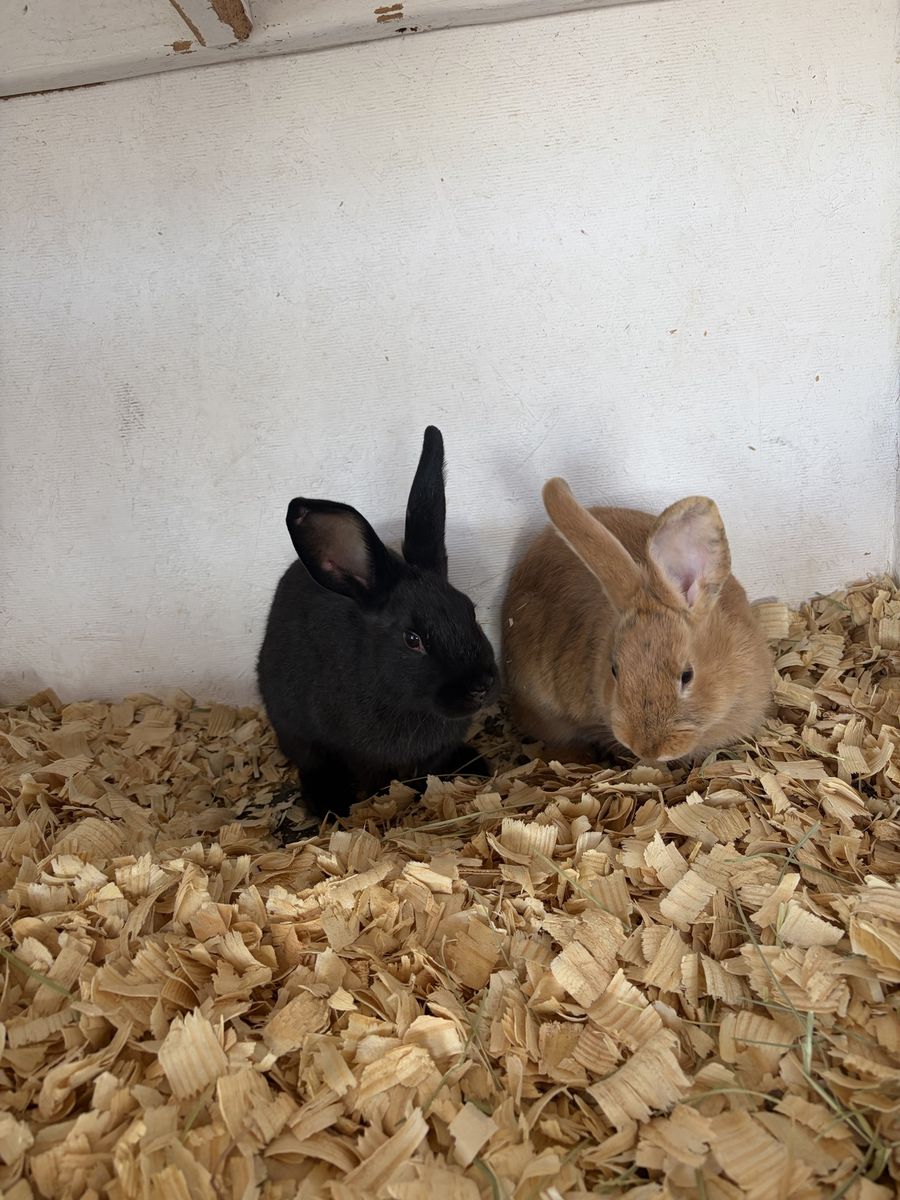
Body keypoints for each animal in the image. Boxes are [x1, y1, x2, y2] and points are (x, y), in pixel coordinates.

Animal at [257, 426, 498, 819]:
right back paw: (329, 803)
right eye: (412, 639)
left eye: (471, 611)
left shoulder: (436, 750)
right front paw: (386, 801)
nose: (481, 685)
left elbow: (429, 770)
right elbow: (376, 778)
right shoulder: (359, 753)